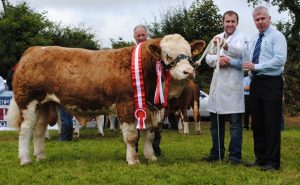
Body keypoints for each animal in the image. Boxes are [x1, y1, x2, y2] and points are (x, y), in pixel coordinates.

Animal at [7, 34, 205, 165]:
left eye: (189, 54)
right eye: (167, 55)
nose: (188, 71)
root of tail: (34, 50)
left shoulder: (150, 109)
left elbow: (149, 134)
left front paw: (151, 157)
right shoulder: (126, 105)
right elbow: (132, 136)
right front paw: (133, 160)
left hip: (44, 105)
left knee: (39, 130)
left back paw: (40, 156)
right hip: (28, 102)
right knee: (25, 130)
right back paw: (25, 159)